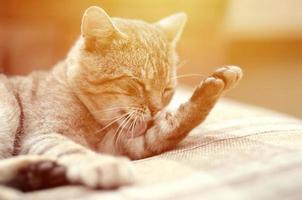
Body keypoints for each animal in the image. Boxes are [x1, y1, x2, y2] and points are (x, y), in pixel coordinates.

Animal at [0, 5, 242, 191]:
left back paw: (37, 173)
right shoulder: (44, 134)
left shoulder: (124, 145)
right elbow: (73, 149)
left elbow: (171, 128)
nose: (156, 109)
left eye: (166, 90)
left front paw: (214, 86)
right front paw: (102, 165)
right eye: (137, 83)